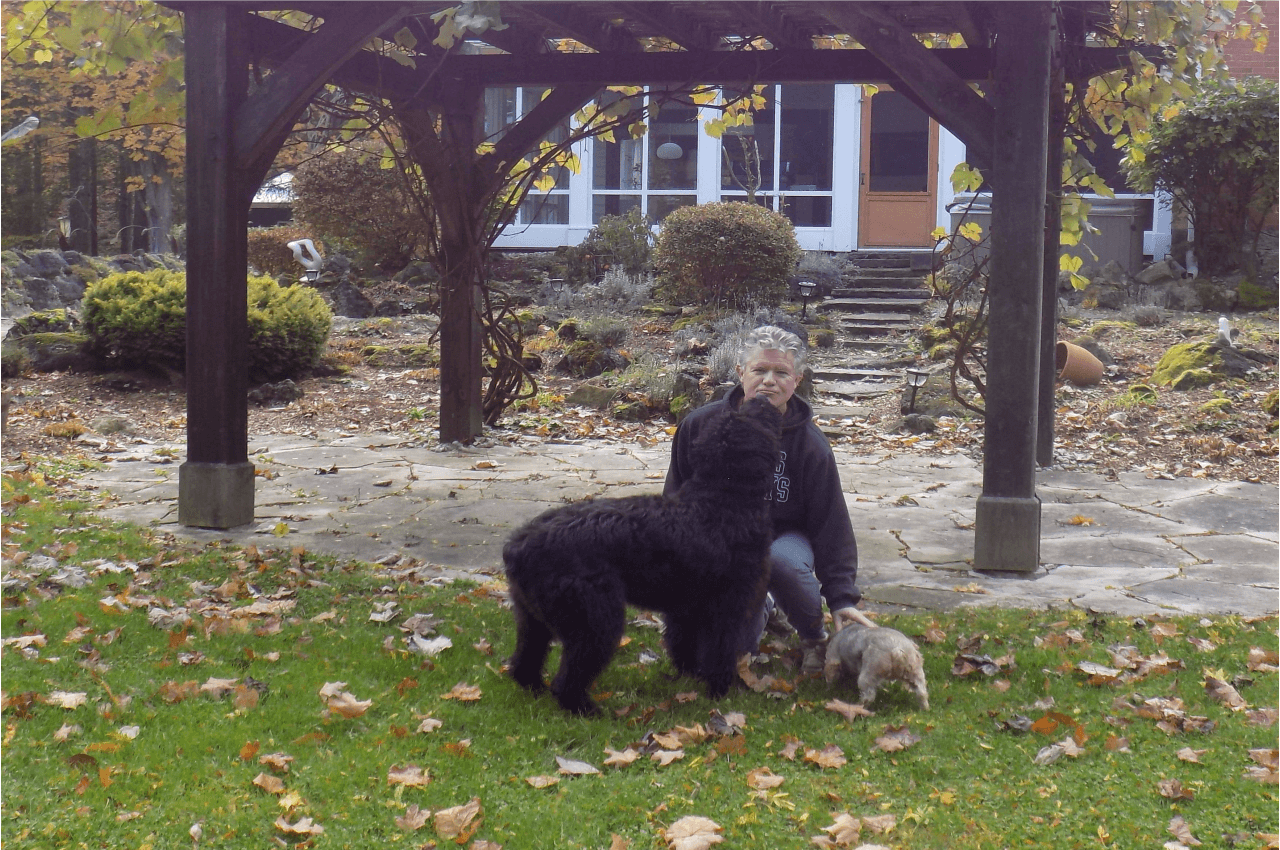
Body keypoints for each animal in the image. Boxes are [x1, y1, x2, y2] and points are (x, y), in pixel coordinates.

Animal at [499, 399, 778, 716]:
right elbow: (719, 651)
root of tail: (517, 547)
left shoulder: (686, 607)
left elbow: (683, 644)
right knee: (568, 678)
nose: (762, 400)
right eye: (754, 416)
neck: (722, 502)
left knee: (524, 663)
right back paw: (587, 710)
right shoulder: (727, 607)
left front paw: (690, 677)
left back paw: (535, 689)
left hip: (532, 619)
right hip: (596, 620)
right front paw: (719, 692)